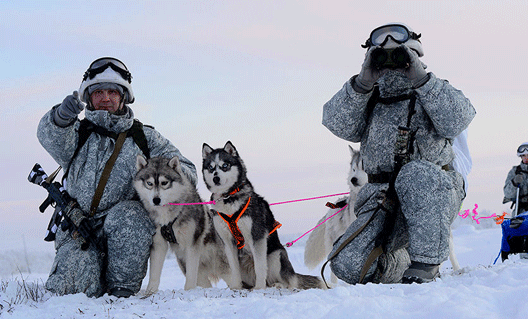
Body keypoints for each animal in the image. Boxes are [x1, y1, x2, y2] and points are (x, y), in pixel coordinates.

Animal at [133, 156, 232, 294]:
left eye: (164, 183)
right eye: (149, 183)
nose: (156, 200)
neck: (168, 217)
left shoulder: (191, 246)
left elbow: (190, 277)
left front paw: (188, 291)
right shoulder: (159, 244)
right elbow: (154, 274)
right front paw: (150, 293)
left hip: (227, 268)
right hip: (194, 270)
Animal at [202, 141, 326, 292]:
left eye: (225, 165)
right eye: (210, 167)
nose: (216, 178)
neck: (228, 198)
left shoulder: (257, 237)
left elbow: (260, 267)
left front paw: (259, 288)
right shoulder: (228, 242)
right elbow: (234, 269)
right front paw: (236, 287)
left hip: (276, 255)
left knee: (288, 282)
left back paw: (277, 285)